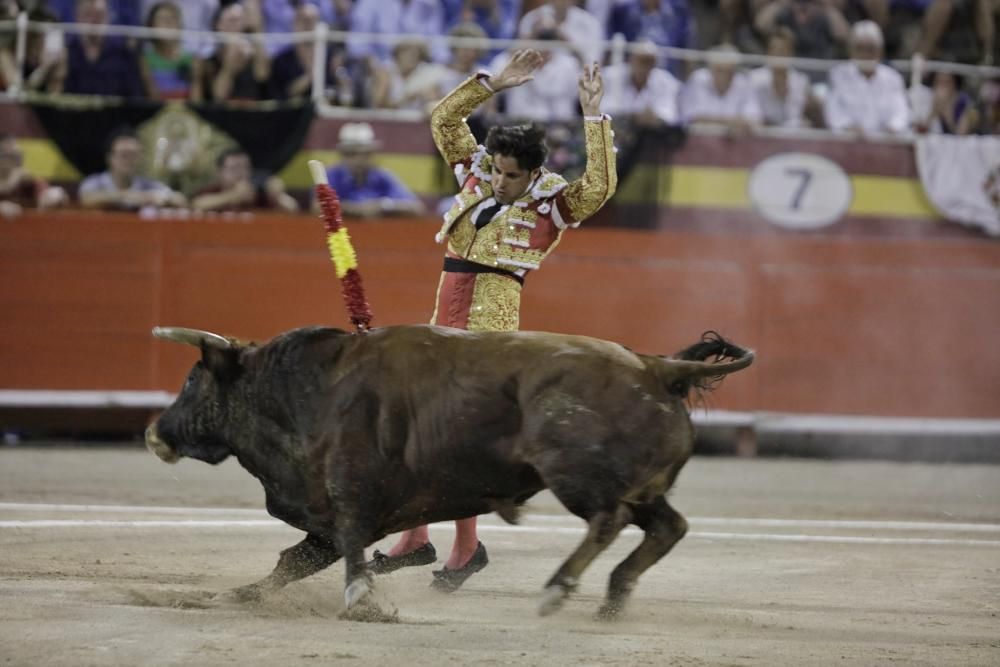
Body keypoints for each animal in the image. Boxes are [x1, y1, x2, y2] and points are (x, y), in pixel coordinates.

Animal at [146, 324, 752, 620]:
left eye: (192, 381)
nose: (155, 432)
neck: (306, 390)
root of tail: (656, 367)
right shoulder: (330, 516)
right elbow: (291, 564)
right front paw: (230, 597)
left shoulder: (349, 500)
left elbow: (346, 554)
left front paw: (364, 604)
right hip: (646, 487)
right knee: (668, 527)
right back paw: (612, 598)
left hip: (575, 473)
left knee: (607, 520)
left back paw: (558, 590)